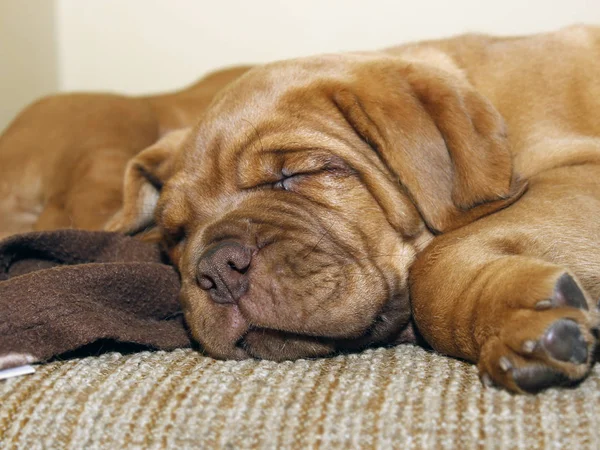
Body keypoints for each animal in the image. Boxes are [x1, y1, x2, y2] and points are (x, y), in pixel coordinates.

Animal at [109, 23, 600, 394]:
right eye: (176, 234)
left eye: (295, 174)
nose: (217, 269)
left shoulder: (578, 170)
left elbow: (433, 264)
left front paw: (514, 322)